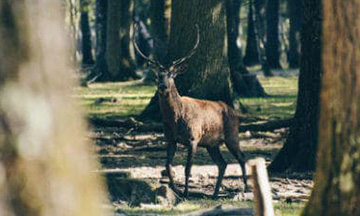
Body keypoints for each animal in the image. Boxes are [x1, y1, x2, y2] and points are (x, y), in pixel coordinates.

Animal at [134, 24, 249, 197]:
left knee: (241, 157)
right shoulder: (170, 139)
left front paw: (186, 193)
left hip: (232, 135)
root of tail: (233, 111)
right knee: (222, 163)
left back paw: (246, 188)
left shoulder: (193, 138)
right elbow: (167, 165)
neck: (175, 120)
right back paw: (215, 193)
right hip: (211, 144)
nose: (163, 86)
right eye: (157, 76)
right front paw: (175, 190)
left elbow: (188, 169)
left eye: (171, 74)